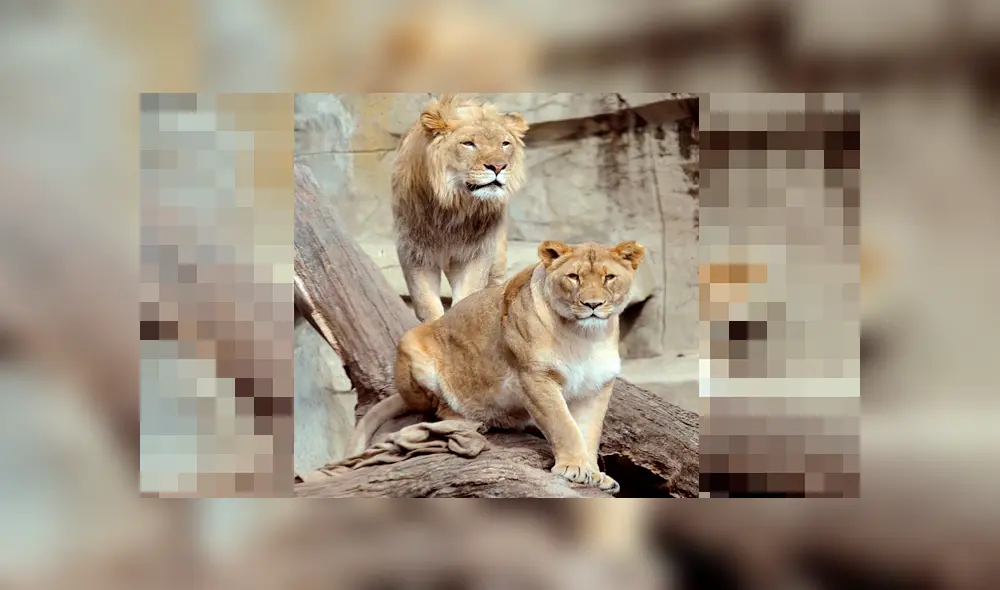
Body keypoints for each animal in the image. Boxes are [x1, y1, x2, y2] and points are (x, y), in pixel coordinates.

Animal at [345, 239, 646, 493]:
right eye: (574, 277)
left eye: (609, 277)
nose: (592, 304)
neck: (584, 336)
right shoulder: (536, 378)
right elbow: (564, 426)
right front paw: (575, 468)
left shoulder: (597, 386)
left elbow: (588, 432)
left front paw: (595, 473)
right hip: (412, 344)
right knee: (439, 407)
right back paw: (471, 422)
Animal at [392, 94, 529, 322]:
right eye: (469, 144)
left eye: (505, 144)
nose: (499, 166)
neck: (454, 206)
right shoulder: (414, 250)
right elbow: (426, 304)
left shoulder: (478, 251)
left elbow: (468, 296)